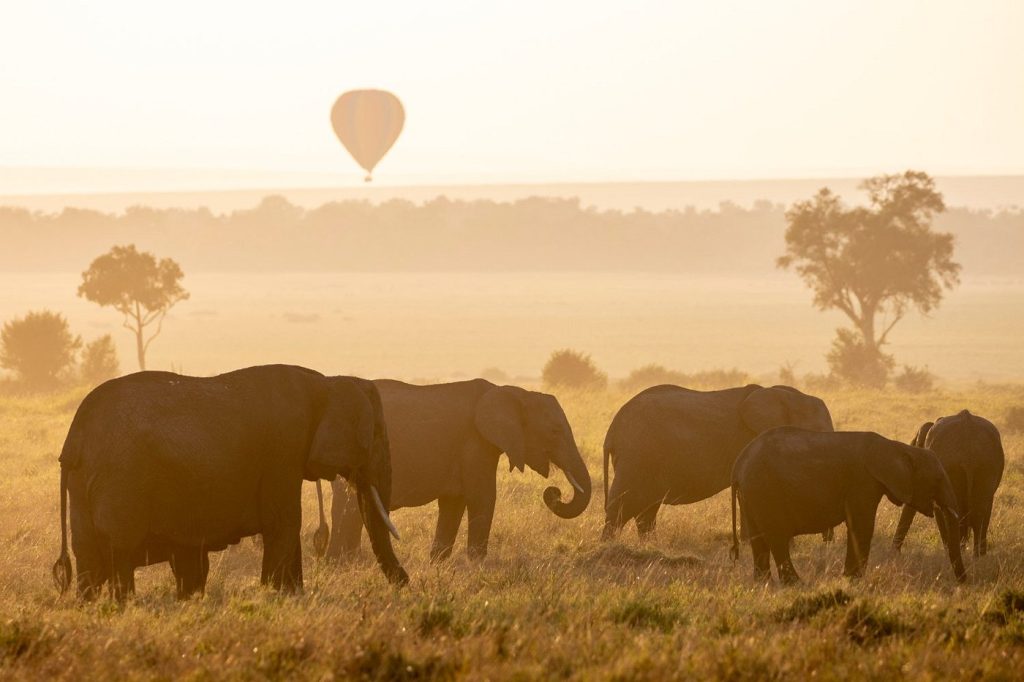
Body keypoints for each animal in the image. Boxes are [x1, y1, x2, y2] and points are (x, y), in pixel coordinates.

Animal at [50, 364, 403, 598]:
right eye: (375, 434)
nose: (406, 585)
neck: (325, 382)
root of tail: (73, 438)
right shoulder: (282, 449)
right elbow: (285, 522)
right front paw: (279, 595)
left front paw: (287, 596)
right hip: (121, 481)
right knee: (118, 554)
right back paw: (122, 607)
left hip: (83, 485)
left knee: (89, 560)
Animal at [319, 376, 593, 557]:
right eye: (554, 431)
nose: (554, 492)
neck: (516, 393)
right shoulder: (476, 441)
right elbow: (483, 497)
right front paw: (477, 564)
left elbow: (453, 503)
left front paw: (439, 564)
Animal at [598, 385, 831, 540]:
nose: (827, 544)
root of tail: (611, 431)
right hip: (637, 457)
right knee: (622, 506)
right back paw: (610, 546)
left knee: (646, 510)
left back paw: (649, 546)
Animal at [733, 421, 962, 581]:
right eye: (938, 479)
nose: (963, 581)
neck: (898, 448)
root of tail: (740, 461)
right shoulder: (862, 482)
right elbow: (861, 525)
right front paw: (854, 580)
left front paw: (850, 578)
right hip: (765, 490)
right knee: (776, 537)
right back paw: (796, 584)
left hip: (752, 494)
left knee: (758, 539)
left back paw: (764, 584)